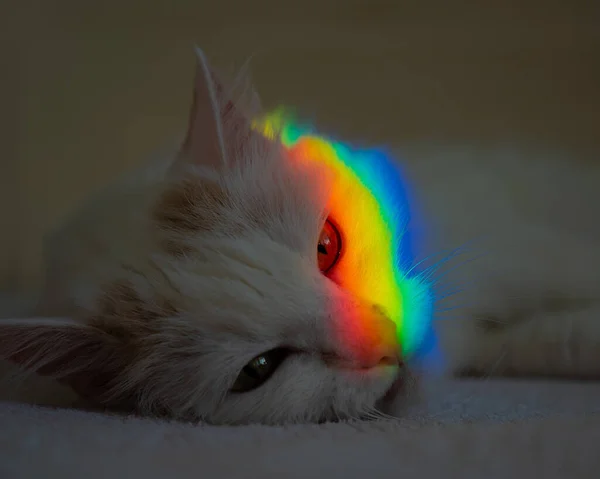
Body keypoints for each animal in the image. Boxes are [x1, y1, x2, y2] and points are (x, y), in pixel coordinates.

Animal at [1, 47, 600, 424]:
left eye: (326, 247)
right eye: (259, 369)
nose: (383, 344)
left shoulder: (518, 244)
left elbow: (570, 270)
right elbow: (563, 340)